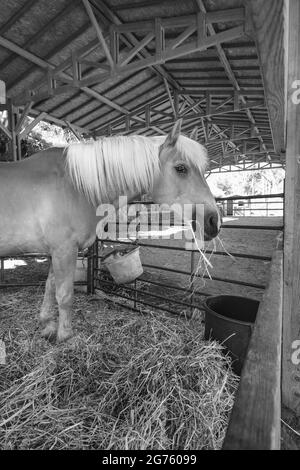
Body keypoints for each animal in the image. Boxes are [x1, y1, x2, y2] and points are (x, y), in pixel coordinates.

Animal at [0, 121, 220, 342]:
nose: (214, 221)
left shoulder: (56, 252)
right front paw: (65, 336)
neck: (74, 186)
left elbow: (50, 286)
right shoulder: (64, 250)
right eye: (181, 168)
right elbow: (65, 294)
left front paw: (47, 326)